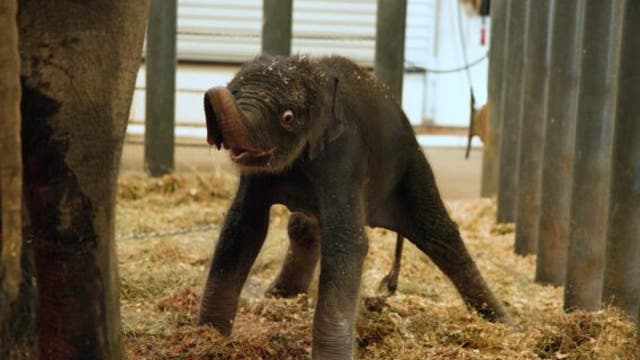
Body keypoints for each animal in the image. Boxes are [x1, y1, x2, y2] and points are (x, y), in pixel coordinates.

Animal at [198, 54, 508, 358]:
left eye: (288, 116)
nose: (213, 92)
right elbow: (242, 228)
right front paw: (208, 337)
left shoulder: (344, 154)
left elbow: (347, 242)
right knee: (302, 226)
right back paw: (278, 295)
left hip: (410, 165)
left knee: (440, 235)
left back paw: (503, 324)